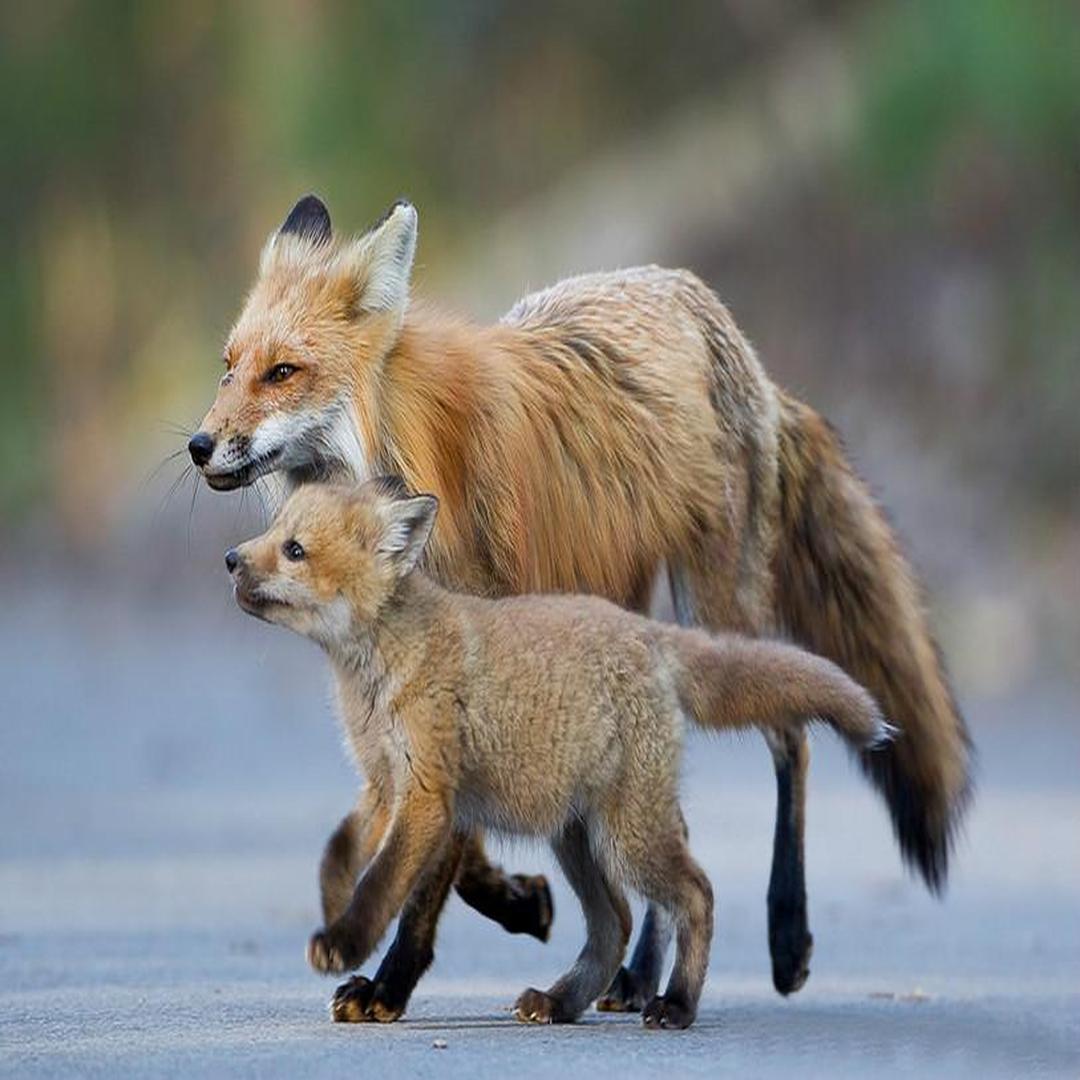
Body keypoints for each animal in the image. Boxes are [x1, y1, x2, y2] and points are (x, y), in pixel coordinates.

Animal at [190, 196, 976, 1019]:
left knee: (790, 739)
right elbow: (450, 831)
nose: (199, 444)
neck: (408, 453)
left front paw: (392, 979)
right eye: (227, 367)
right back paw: (636, 973)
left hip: (714, 600)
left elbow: (435, 860)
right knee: (666, 823)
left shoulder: (473, 659)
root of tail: (723, 325)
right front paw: (515, 898)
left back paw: (781, 937)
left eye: (283, 372)